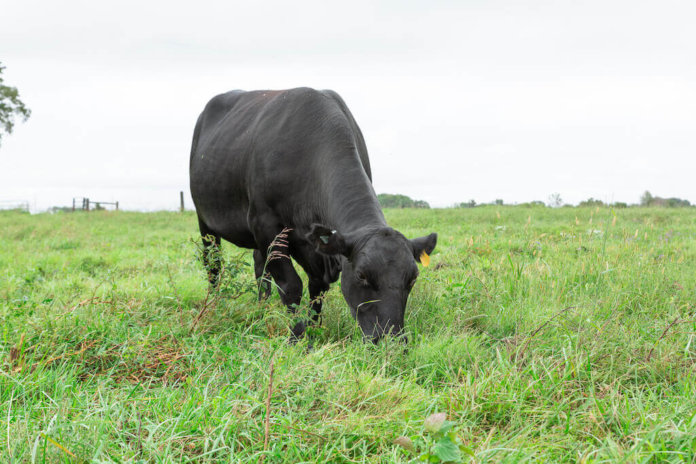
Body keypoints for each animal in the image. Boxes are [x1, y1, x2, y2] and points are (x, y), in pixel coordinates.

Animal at [188, 87, 432, 342]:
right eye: (362, 276)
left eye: (412, 278)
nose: (391, 339)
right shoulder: (266, 225)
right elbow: (291, 286)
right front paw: (296, 336)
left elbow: (317, 288)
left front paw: (314, 329)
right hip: (205, 221)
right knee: (213, 264)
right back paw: (215, 306)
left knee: (259, 267)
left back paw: (261, 310)